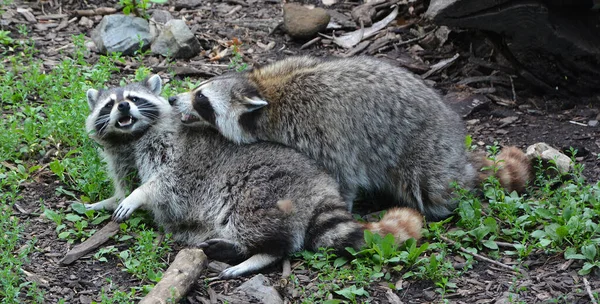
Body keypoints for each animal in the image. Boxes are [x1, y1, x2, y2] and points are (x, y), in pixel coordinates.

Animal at [84, 75, 424, 278]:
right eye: (110, 104)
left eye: (133, 98)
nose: (123, 106)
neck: (130, 139)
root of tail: (320, 185)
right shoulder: (120, 159)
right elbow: (122, 185)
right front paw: (106, 200)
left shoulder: (178, 157)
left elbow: (165, 184)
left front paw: (138, 195)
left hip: (263, 190)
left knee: (267, 233)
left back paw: (259, 254)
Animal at [170, 55, 536, 220]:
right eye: (199, 90)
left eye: (201, 99)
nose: (174, 100)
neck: (264, 92)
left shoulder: (318, 132)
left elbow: (342, 178)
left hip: (427, 153)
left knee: (430, 187)